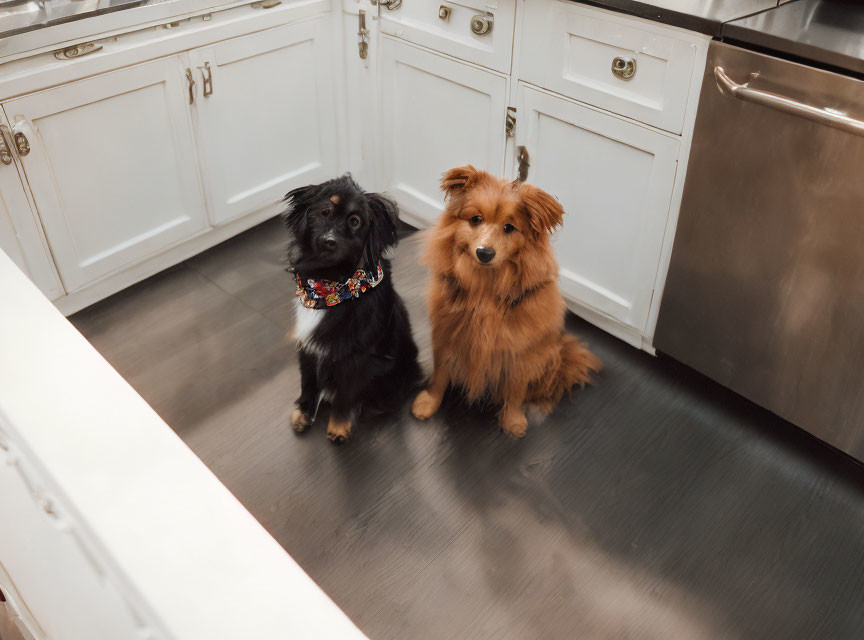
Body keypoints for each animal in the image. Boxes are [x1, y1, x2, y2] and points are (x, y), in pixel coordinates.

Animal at [282, 176, 420, 444]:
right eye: (325, 212)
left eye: (355, 222)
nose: (328, 241)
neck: (331, 284)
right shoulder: (308, 345)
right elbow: (308, 380)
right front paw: (304, 410)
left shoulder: (356, 354)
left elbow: (346, 393)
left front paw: (339, 427)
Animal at [412, 165, 600, 438]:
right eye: (475, 219)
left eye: (510, 227)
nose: (484, 252)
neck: (486, 289)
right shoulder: (446, 333)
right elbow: (439, 375)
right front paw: (429, 402)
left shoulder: (520, 351)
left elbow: (516, 389)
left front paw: (513, 420)